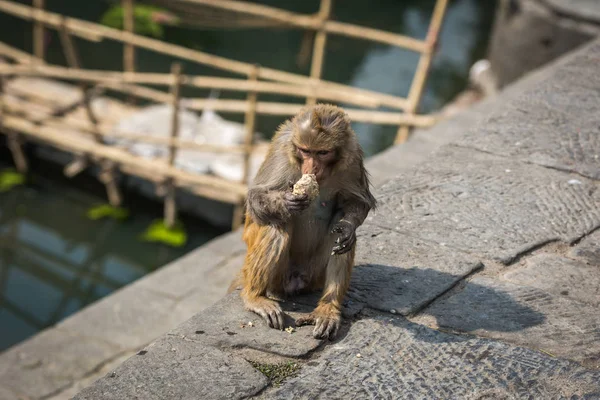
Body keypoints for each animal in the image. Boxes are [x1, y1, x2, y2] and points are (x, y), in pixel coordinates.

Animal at [229, 102, 376, 338]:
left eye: (322, 152)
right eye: (306, 151)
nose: (312, 167)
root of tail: (296, 281)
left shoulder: (353, 156)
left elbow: (356, 203)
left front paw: (346, 228)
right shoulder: (281, 152)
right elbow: (255, 198)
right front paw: (285, 202)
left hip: (314, 275)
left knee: (341, 236)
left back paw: (328, 308)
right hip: (276, 279)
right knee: (278, 225)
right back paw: (255, 297)